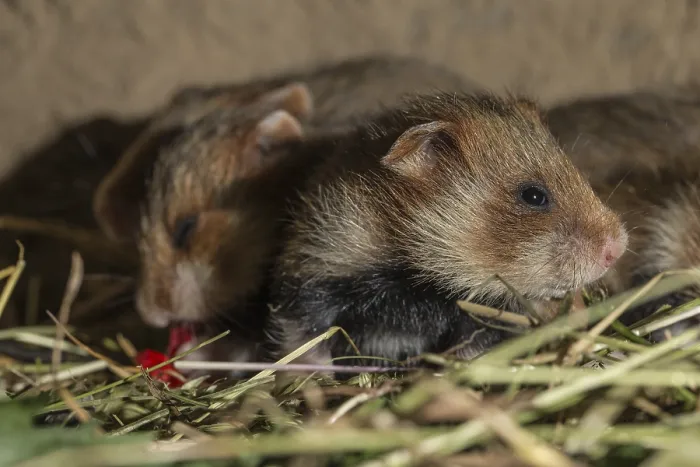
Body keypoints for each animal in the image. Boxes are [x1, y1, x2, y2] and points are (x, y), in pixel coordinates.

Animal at [267, 92, 628, 366]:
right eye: (533, 195)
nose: (617, 249)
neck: (418, 279)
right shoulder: (311, 280)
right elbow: (305, 343)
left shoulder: (484, 315)